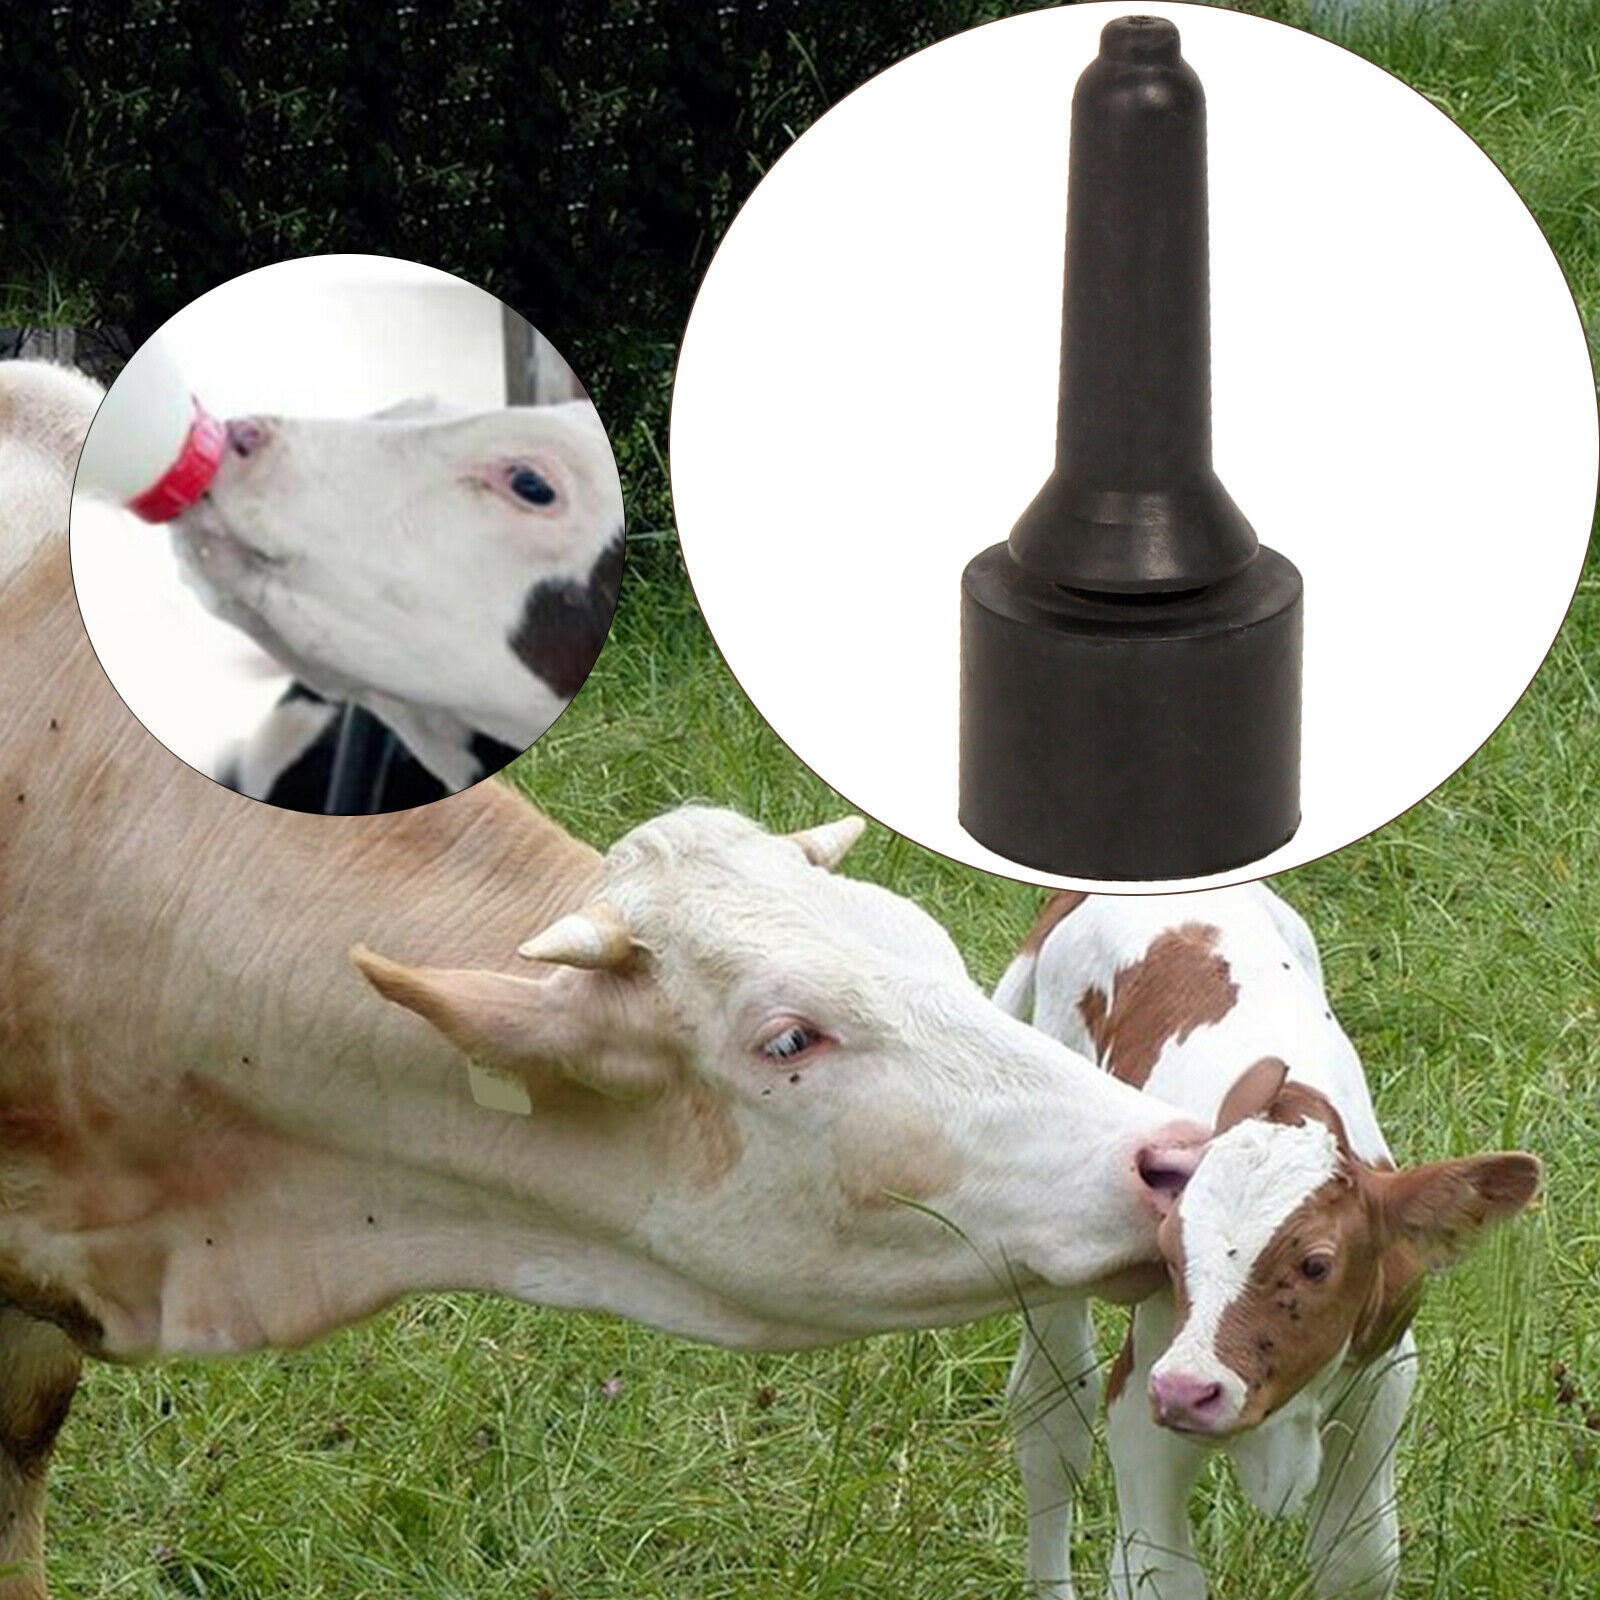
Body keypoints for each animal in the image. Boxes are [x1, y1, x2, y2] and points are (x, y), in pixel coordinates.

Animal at [995, 887, 1539, 1600]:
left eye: (1315, 1265)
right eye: (1171, 1253)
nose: (1188, 1391)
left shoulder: (1381, 1386)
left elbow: (1357, 1561)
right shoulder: (1145, 1403)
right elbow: (1159, 1572)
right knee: (1051, 1415)